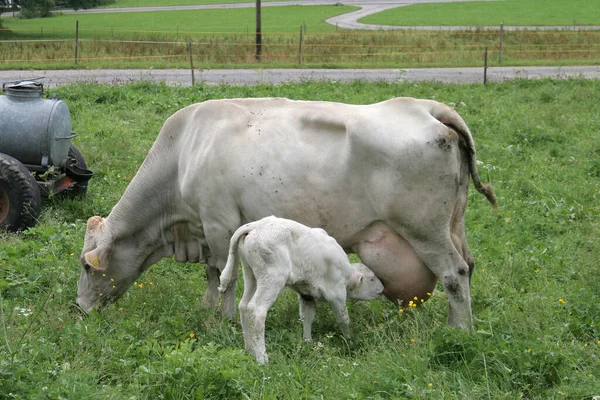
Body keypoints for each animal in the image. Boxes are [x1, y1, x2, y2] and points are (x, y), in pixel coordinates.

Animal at [76, 97, 496, 332]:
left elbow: (225, 277)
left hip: (425, 231)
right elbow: (212, 274)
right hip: (453, 225)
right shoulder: (206, 230)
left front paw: (224, 320)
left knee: (454, 274)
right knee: (469, 265)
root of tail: (425, 107)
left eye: (84, 266)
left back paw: (459, 330)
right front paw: (208, 309)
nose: (79, 309)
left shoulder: (218, 223)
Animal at [218, 217, 382, 364]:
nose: (382, 288)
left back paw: (249, 350)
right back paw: (262, 358)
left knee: (244, 306)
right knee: (256, 310)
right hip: (272, 277)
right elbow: (343, 318)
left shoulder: (306, 293)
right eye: (372, 279)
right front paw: (350, 340)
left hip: (251, 274)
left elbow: (307, 317)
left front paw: (308, 342)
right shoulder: (337, 293)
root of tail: (253, 227)